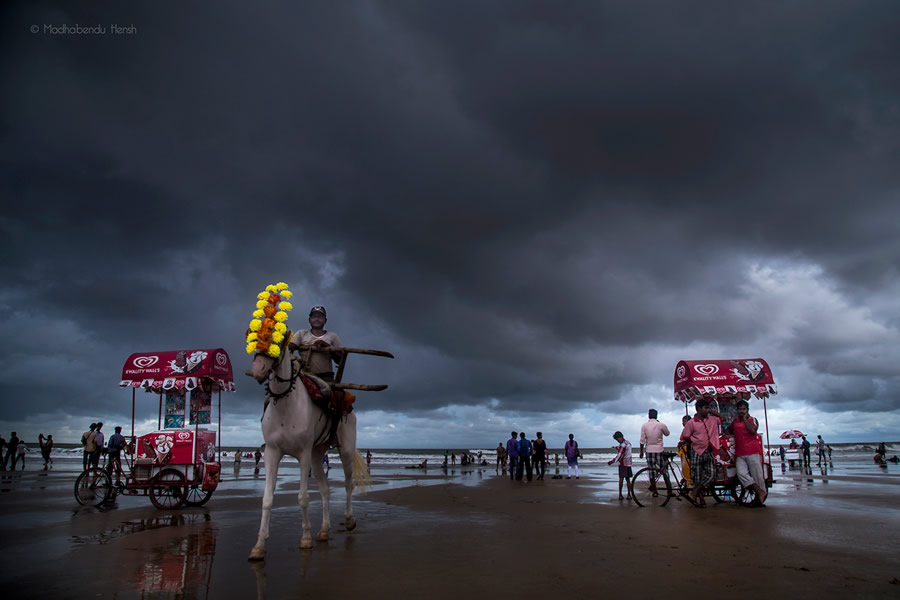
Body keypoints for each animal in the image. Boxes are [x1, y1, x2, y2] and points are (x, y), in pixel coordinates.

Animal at [246, 344, 366, 560]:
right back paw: (324, 530)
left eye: (279, 339)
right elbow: (267, 499)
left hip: (345, 450)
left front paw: (305, 539)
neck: (285, 405)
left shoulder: (303, 454)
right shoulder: (272, 453)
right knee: (325, 488)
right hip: (317, 455)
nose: (259, 369)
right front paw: (259, 546)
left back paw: (349, 520)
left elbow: (303, 498)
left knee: (348, 484)